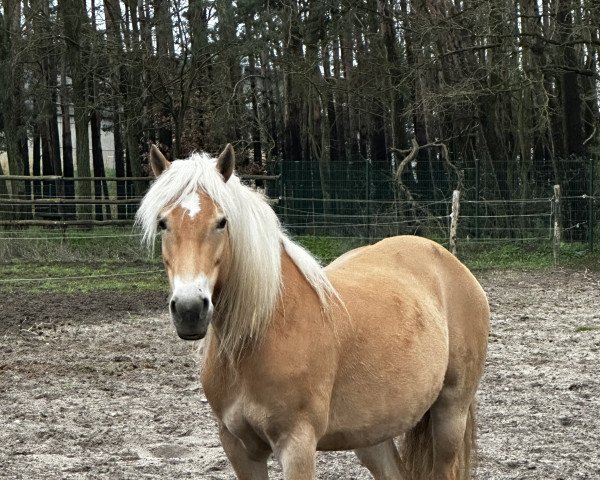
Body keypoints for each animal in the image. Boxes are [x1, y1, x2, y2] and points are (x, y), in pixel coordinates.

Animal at [138, 145, 490, 480]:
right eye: (163, 223)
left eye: (221, 222)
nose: (189, 309)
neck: (263, 332)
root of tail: (448, 261)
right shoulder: (238, 447)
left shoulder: (297, 445)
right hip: (372, 434)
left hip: (450, 413)